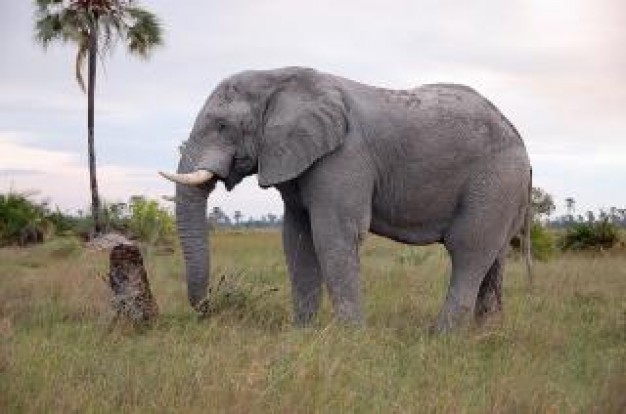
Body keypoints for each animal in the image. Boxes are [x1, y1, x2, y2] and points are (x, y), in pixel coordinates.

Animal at [158, 68, 528, 334]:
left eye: (222, 126)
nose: (209, 309)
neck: (277, 76)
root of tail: (518, 136)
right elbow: (297, 239)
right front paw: (302, 335)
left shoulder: (344, 156)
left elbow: (334, 235)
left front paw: (351, 338)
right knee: (493, 259)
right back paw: (485, 336)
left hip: (495, 181)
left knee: (468, 250)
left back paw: (441, 338)